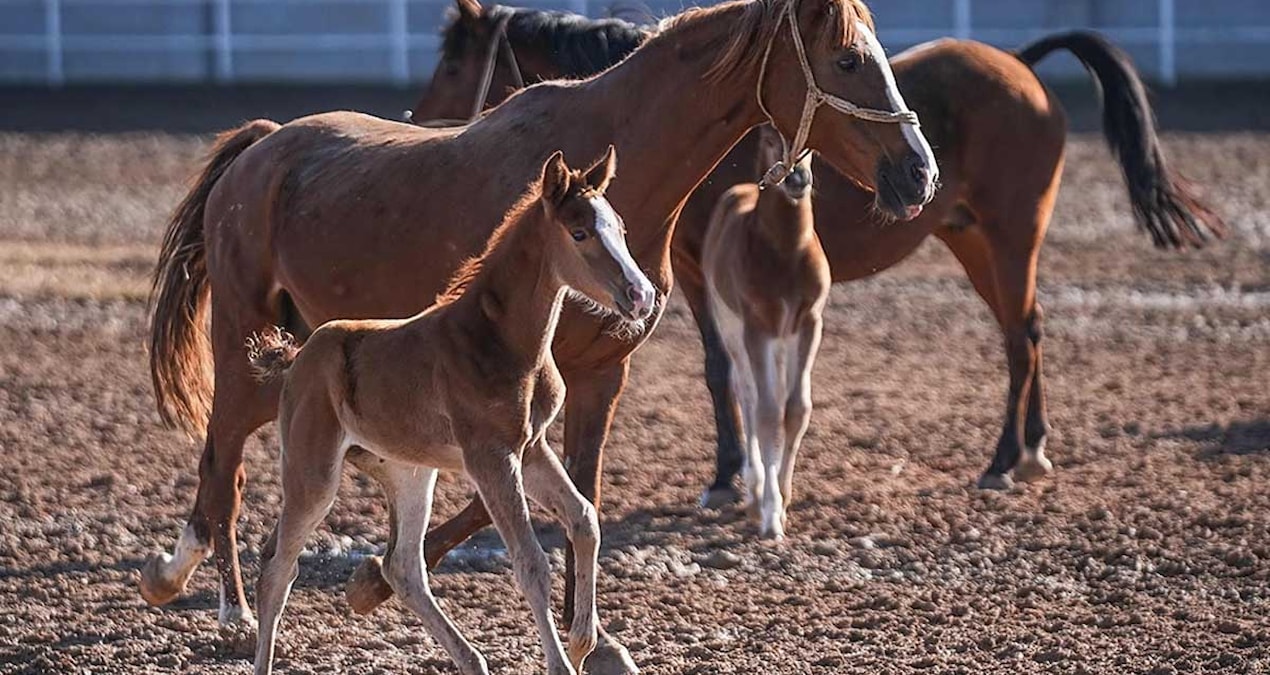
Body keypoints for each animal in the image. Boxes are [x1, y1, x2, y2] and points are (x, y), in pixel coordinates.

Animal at [247, 149, 650, 675]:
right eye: (580, 233)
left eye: (620, 228)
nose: (641, 295)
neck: (500, 340)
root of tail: (298, 358)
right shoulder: (491, 457)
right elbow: (530, 562)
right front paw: (564, 661)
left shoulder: (531, 448)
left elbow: (584, 519)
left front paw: (583, 643)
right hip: (312, 473)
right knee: (277, 569)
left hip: (409, 472)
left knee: (403, 567)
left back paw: (474, 660)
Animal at [702, 133, 827, 541]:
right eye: (772, 138)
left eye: (812, 146)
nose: (797, 179)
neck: (787, 253)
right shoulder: (757, 328)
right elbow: (768, 413)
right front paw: (771, 514)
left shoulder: (809, 323)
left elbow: (797, 408)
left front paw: (784, 500)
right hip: (732, 328)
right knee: (748, 394)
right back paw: (755, 492)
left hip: (783, 340)